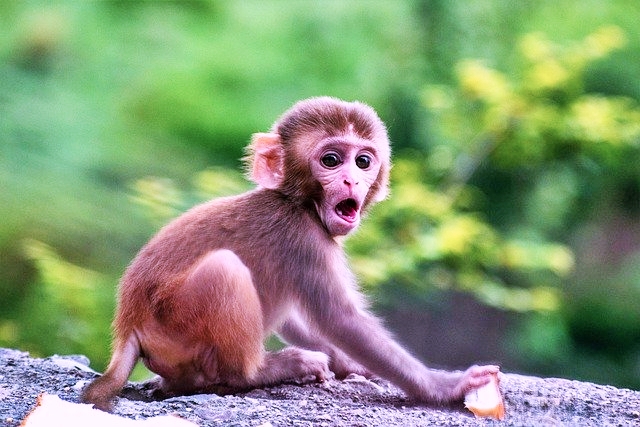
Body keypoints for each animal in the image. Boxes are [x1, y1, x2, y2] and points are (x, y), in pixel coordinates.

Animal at [81, 96, 500, 412]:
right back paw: (261, 372)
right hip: (174, 324)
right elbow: (339, 318)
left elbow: (301, 317)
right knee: (225, 269)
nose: (352, 180)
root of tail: (129, 327)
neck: (298, 202)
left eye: (363, 161)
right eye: (331, 160)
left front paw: (347, 364)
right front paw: (444, 386)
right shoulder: (304, 238)